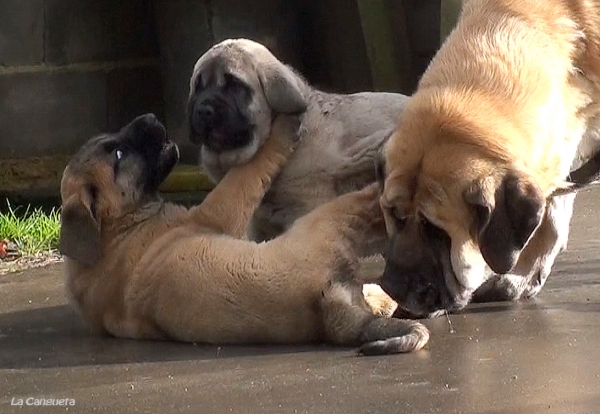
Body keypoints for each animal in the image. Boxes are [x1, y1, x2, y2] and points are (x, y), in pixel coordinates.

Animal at [58, 113, 428, 356]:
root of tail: (330, 309)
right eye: (118, 154)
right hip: (327, 218)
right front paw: (282, 126)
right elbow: (249, 170)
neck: (116, 229)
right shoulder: (217, 210)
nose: (149, 116)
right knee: (370, 203)